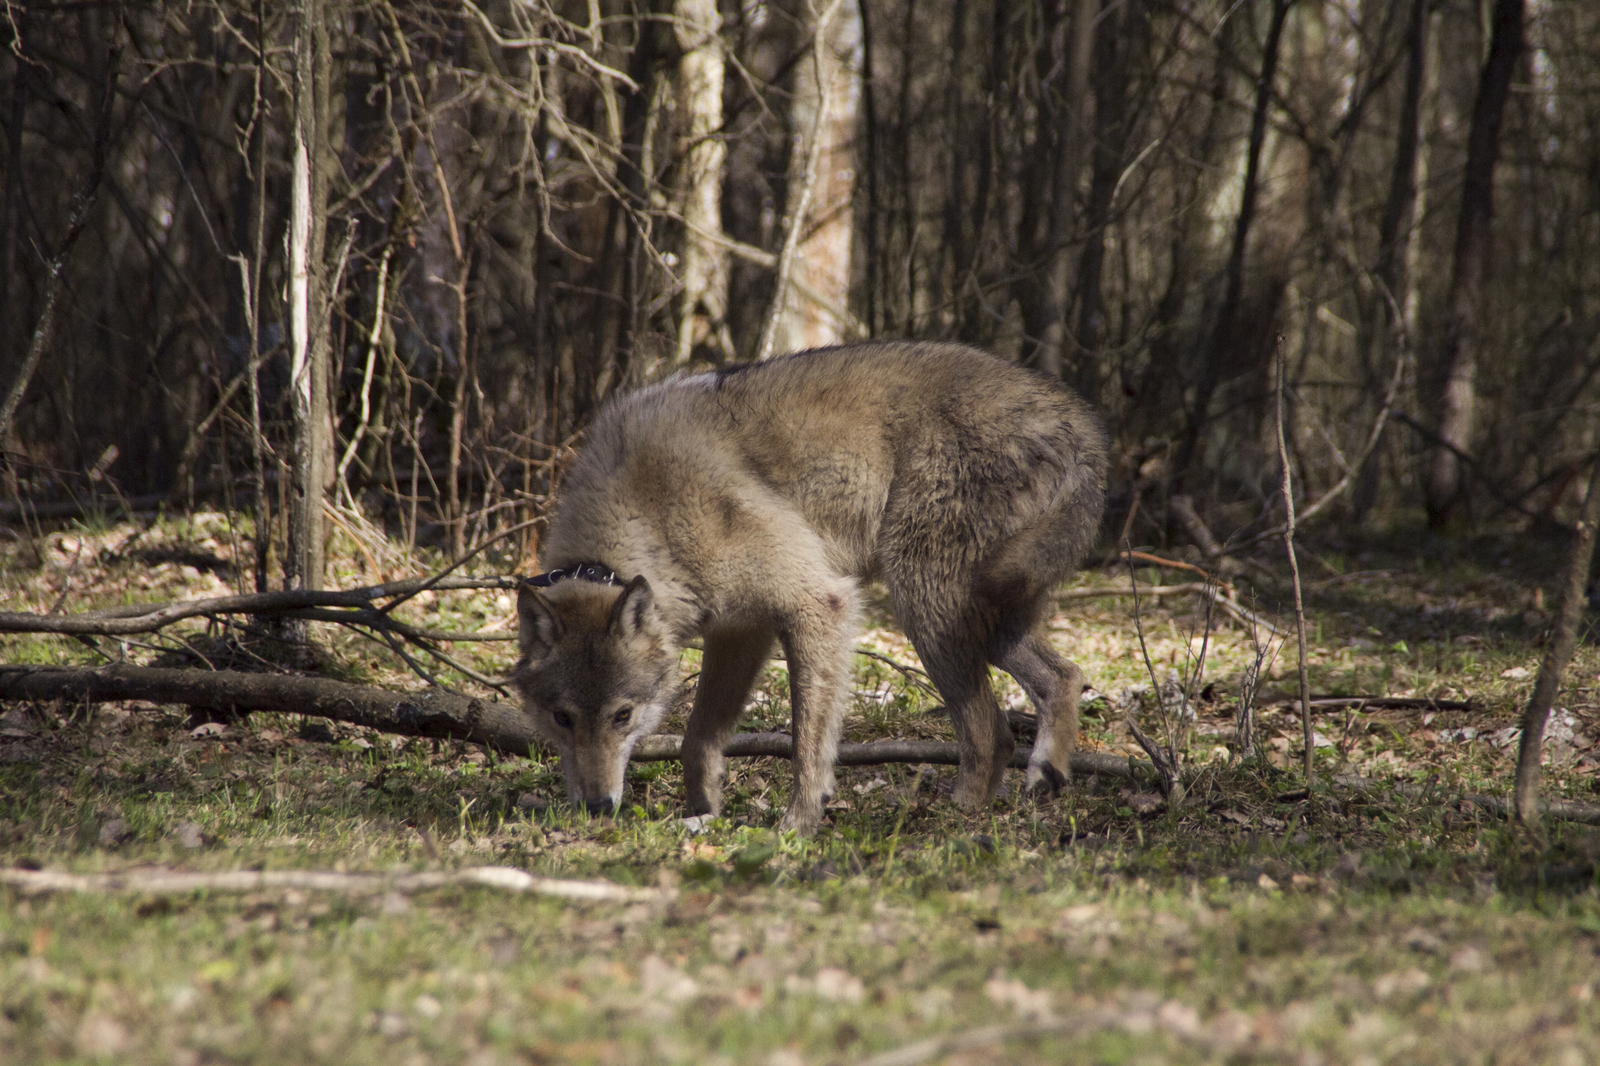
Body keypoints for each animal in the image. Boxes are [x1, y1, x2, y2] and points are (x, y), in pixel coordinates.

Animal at [508, 342, 1100, 832]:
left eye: (622, 716)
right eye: (562, 719)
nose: (596, 808)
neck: (647, 516)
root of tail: (1080, 422)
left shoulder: (818, 603)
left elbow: (806, 742)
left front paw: (798, 823)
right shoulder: (738, 633)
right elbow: (698, 739)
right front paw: (702, 811)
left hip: (925, 609)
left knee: (990, 731)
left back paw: (955, 818)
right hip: (985, 621)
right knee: (1064, 676)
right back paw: (1044, 776)